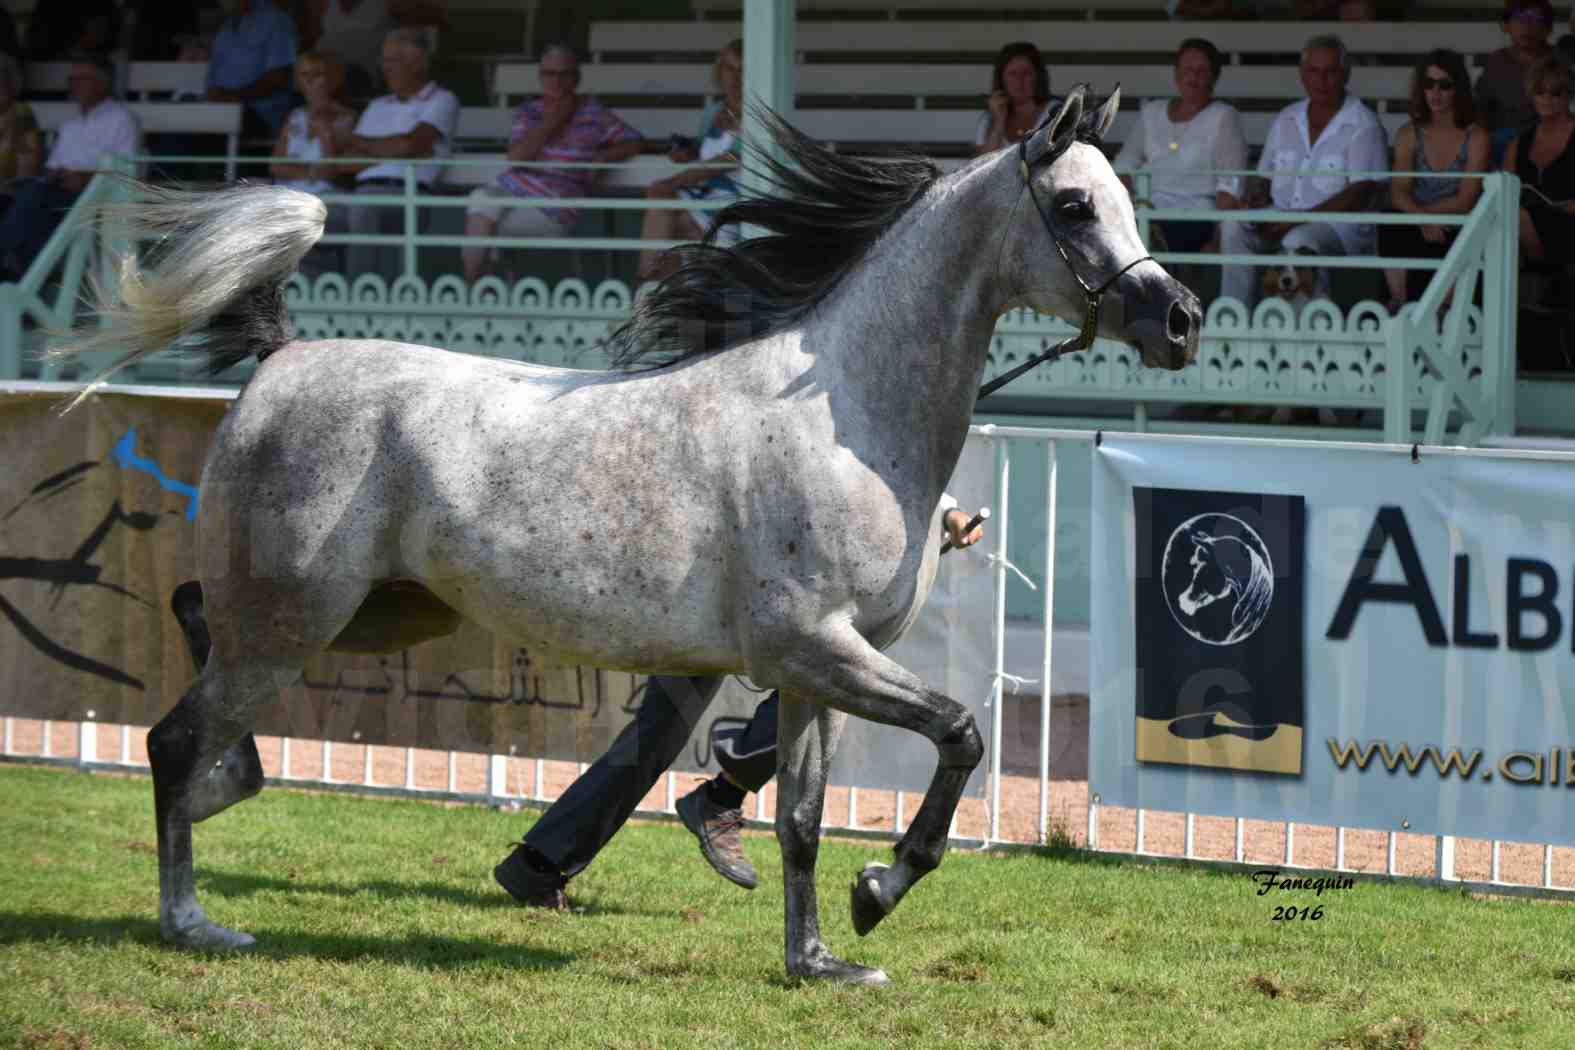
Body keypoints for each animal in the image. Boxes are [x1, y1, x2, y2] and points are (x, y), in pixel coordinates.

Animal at [55, 88, 1197, 988]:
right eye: (1074, 205)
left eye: (1125, 200)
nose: (1180, 319)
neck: (846, 420)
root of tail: (280, 358)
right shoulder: (812, 648)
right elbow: (960, 733)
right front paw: (881, 889)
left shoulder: (819, 671)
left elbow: (801, 820)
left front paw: (821, 959)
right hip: (296, 618)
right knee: (173, 734)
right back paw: (194, 916)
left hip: (367, 613)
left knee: (191, 630)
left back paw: (230, 789)